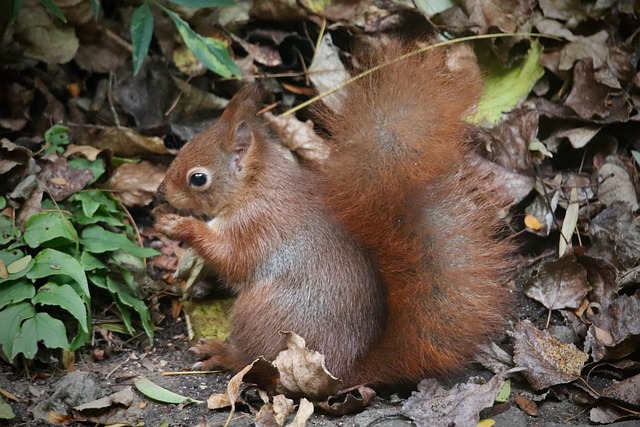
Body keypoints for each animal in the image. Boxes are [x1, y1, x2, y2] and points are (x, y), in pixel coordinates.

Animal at [155, 39, 511, 388]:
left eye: (197, 178)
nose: (162, 192)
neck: (254, 186)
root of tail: (342, 371)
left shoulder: (257, 225)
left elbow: (232, 258)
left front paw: (179, 227)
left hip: (260, 314)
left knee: (255, 364)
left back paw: (223, 354)